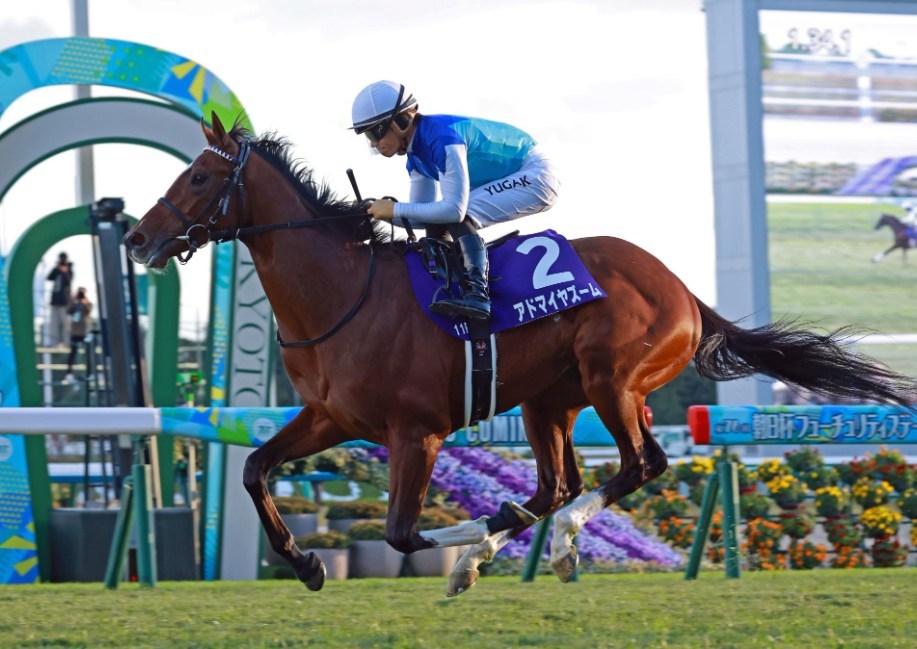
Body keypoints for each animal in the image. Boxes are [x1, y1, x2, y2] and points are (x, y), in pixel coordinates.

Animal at [123, 113, 916, 596]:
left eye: (198, 176)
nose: (136, 238)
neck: (344, 292)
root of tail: (686, 292)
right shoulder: (331, 417)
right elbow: (256, 468)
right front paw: (307, 562)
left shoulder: (417, 432)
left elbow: (402, 531)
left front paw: (468, 544)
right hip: (549, 400)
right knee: (557, 484)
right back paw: (511, 547)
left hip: (612, 380)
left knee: (636, 466)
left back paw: (557, 544)